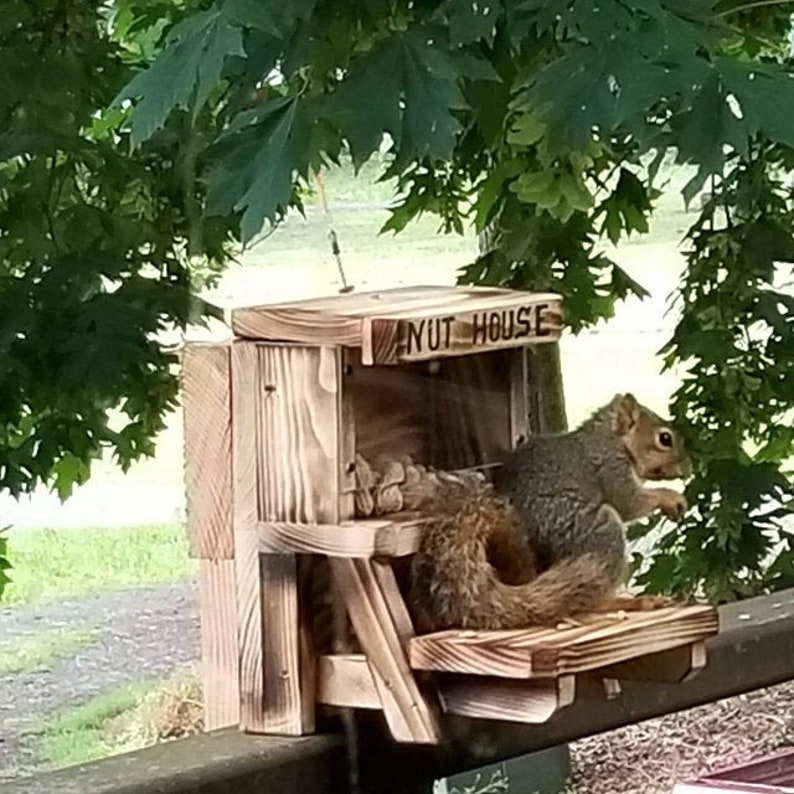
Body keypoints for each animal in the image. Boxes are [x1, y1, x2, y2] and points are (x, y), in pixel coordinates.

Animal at [409, 393, 690, 632]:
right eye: (665, 439)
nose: (685, 470)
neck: (611, 436)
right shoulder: (610, 466)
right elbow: (629, 502)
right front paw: (671, 498)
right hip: (596, 530)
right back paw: (628, 603)